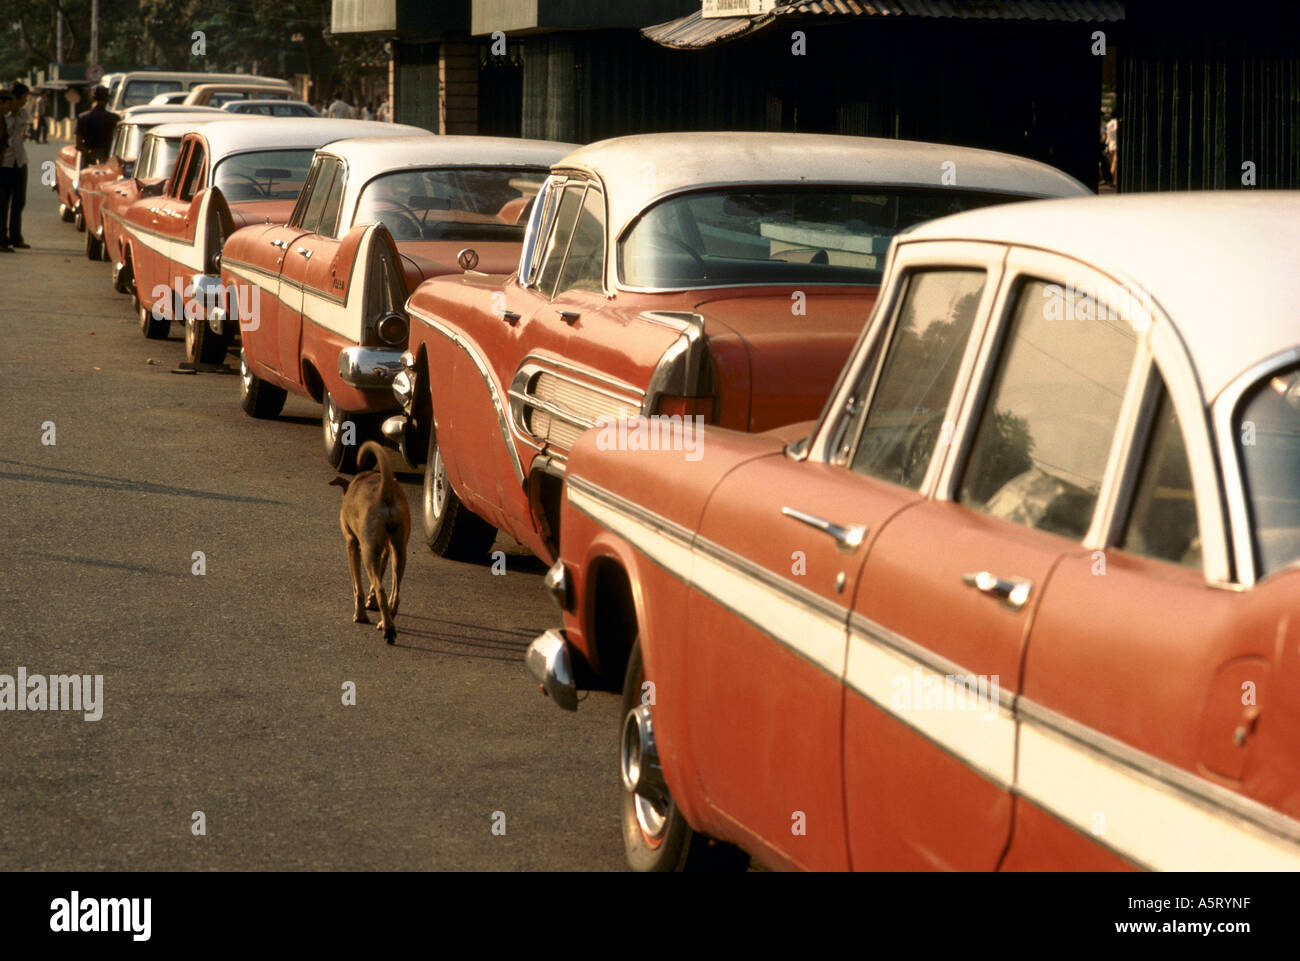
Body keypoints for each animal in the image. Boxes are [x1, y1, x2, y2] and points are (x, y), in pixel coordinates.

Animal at [327, 444, 408, 647]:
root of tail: (385, 493)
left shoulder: (352, 545)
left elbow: (357, 587)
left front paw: (360, 614)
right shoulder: (384, 549)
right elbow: (380, 572)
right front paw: (370, 603)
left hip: (367, 552)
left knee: (381, 590)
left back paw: (388, 630)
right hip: (399, 550)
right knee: (395, 590)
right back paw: (387, 620)